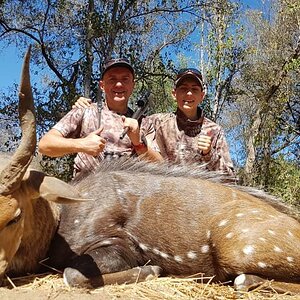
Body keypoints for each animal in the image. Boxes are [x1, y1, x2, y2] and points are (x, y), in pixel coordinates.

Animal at [0, 48, 300, 294]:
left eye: (15, 216)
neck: (63, 215)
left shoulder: (119, 243)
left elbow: (71, 275)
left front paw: (154, 269)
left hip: (238, 249)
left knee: (244, 278)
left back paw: (245, 279)